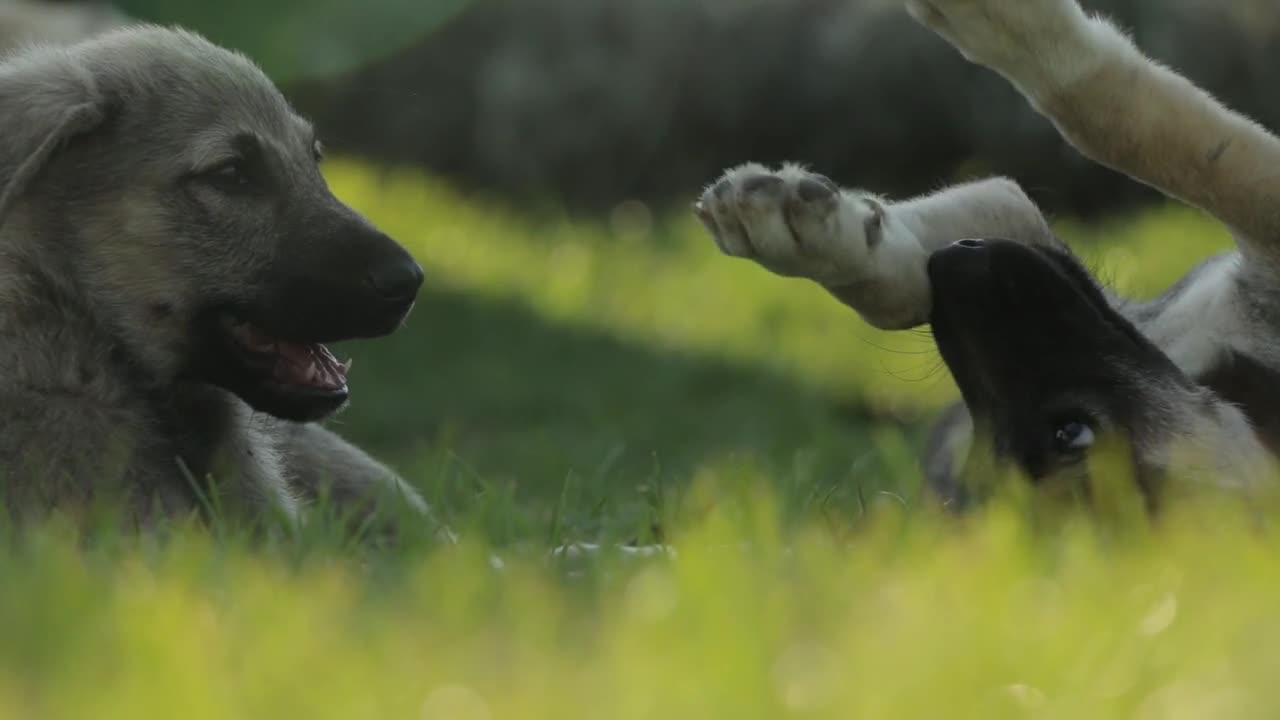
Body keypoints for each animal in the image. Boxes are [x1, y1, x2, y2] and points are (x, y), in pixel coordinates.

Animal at [696, 0, 1280, 507]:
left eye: (1071, 432)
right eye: (977, 465)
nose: (954, 266)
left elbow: (1115, 121)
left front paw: (1010, 22)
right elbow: (901, 292)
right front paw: (821, 235)